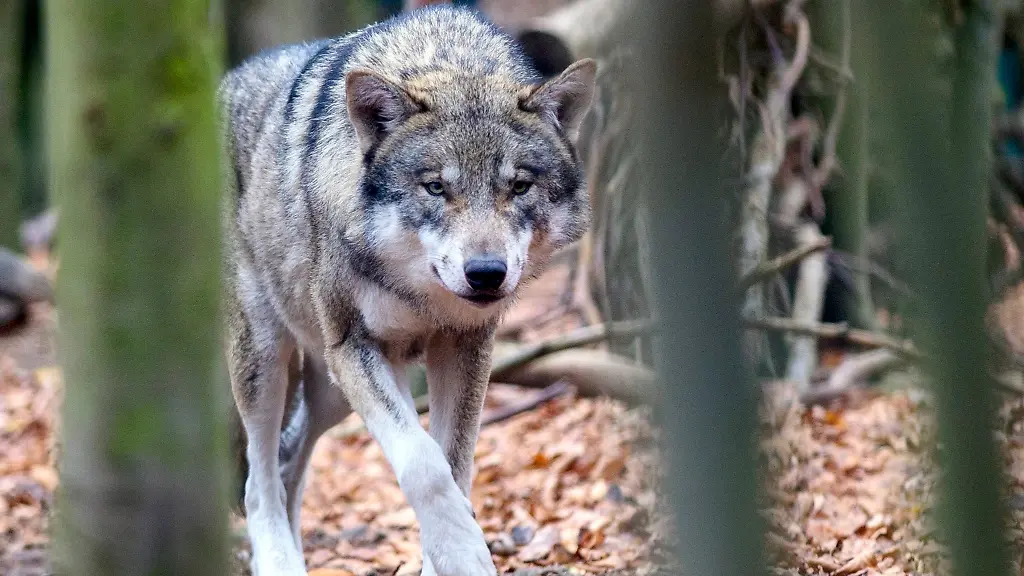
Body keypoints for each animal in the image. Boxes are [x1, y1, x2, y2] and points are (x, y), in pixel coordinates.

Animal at [218, 6, 595, 575]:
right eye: (436, 187)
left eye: (519, 186)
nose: (487, 273)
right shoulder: (354, 347)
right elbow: (424, 463)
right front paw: (463, 554)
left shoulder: (465, 346)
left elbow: (454, 464)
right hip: (268, 358)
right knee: (259, 480)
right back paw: (279, 560)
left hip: (331, 393)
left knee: (288, 463)